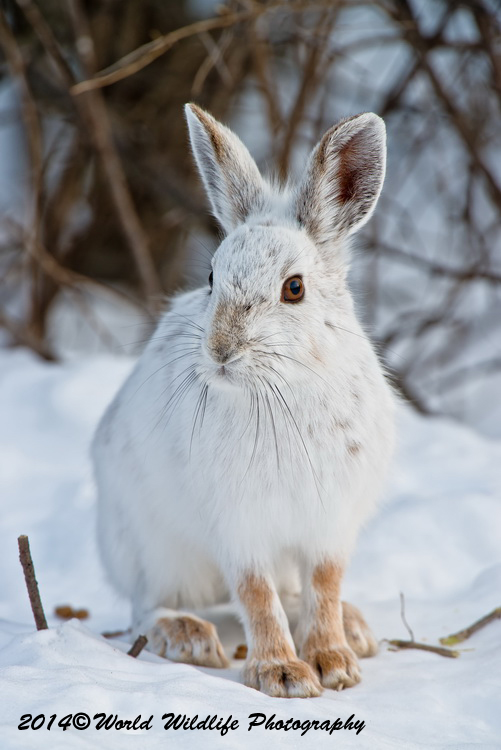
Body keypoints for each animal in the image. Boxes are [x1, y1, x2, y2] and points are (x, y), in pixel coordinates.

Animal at [92, 103, 395, 698]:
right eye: (212, 277)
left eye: (294, 288)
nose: (220, 351)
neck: (287, 388)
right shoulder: (239, 523)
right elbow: (256, 594)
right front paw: (282, 674)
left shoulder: (329, 524)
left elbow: (324, 585)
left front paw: (335, 663)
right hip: (155, 549)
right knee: (145, 606)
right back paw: (186, 636)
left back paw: (355, 627)